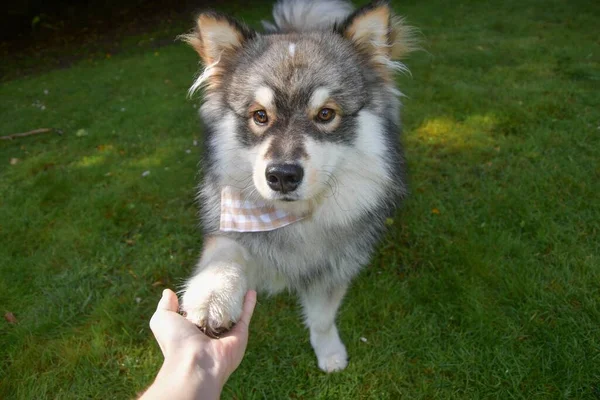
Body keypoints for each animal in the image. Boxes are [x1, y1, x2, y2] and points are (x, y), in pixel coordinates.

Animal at [178, 0, 418, 372]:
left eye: (326, 114)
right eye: (260, 116)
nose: (282, 176)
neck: (293, 219)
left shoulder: (333, 269)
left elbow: (322, 318)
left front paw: (328, 351)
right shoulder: (232, 225)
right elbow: (225, 252)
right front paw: (213, 293)